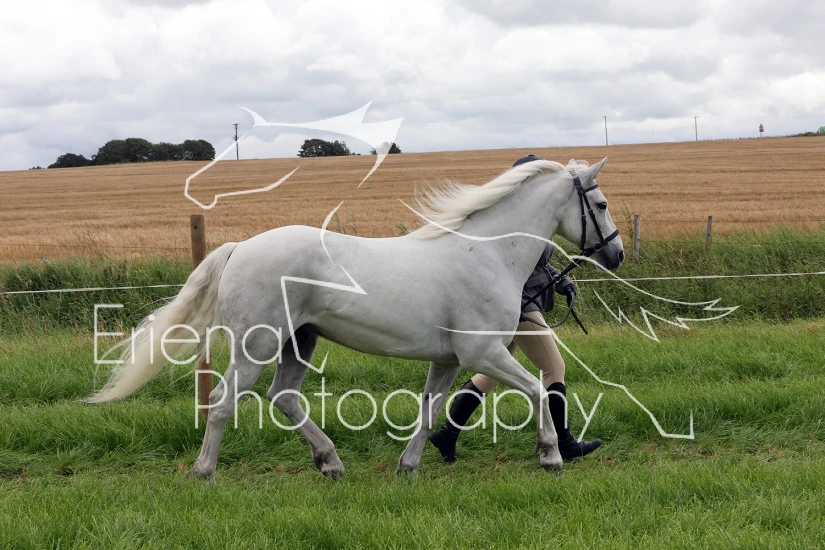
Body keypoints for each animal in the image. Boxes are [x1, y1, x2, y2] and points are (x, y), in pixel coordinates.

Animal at [86, 157, 624, 481]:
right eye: (600, 203)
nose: (616, 254)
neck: (487, 254)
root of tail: (240, 248)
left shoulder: (450, 360)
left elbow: (432, 410)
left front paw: (408, 467)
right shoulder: (483, 352)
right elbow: (536, 389)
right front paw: (551, 455)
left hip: (299, 342)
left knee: (284, 396)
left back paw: (330, 463)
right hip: (257, 346)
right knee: (221, 403)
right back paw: (205, 473)